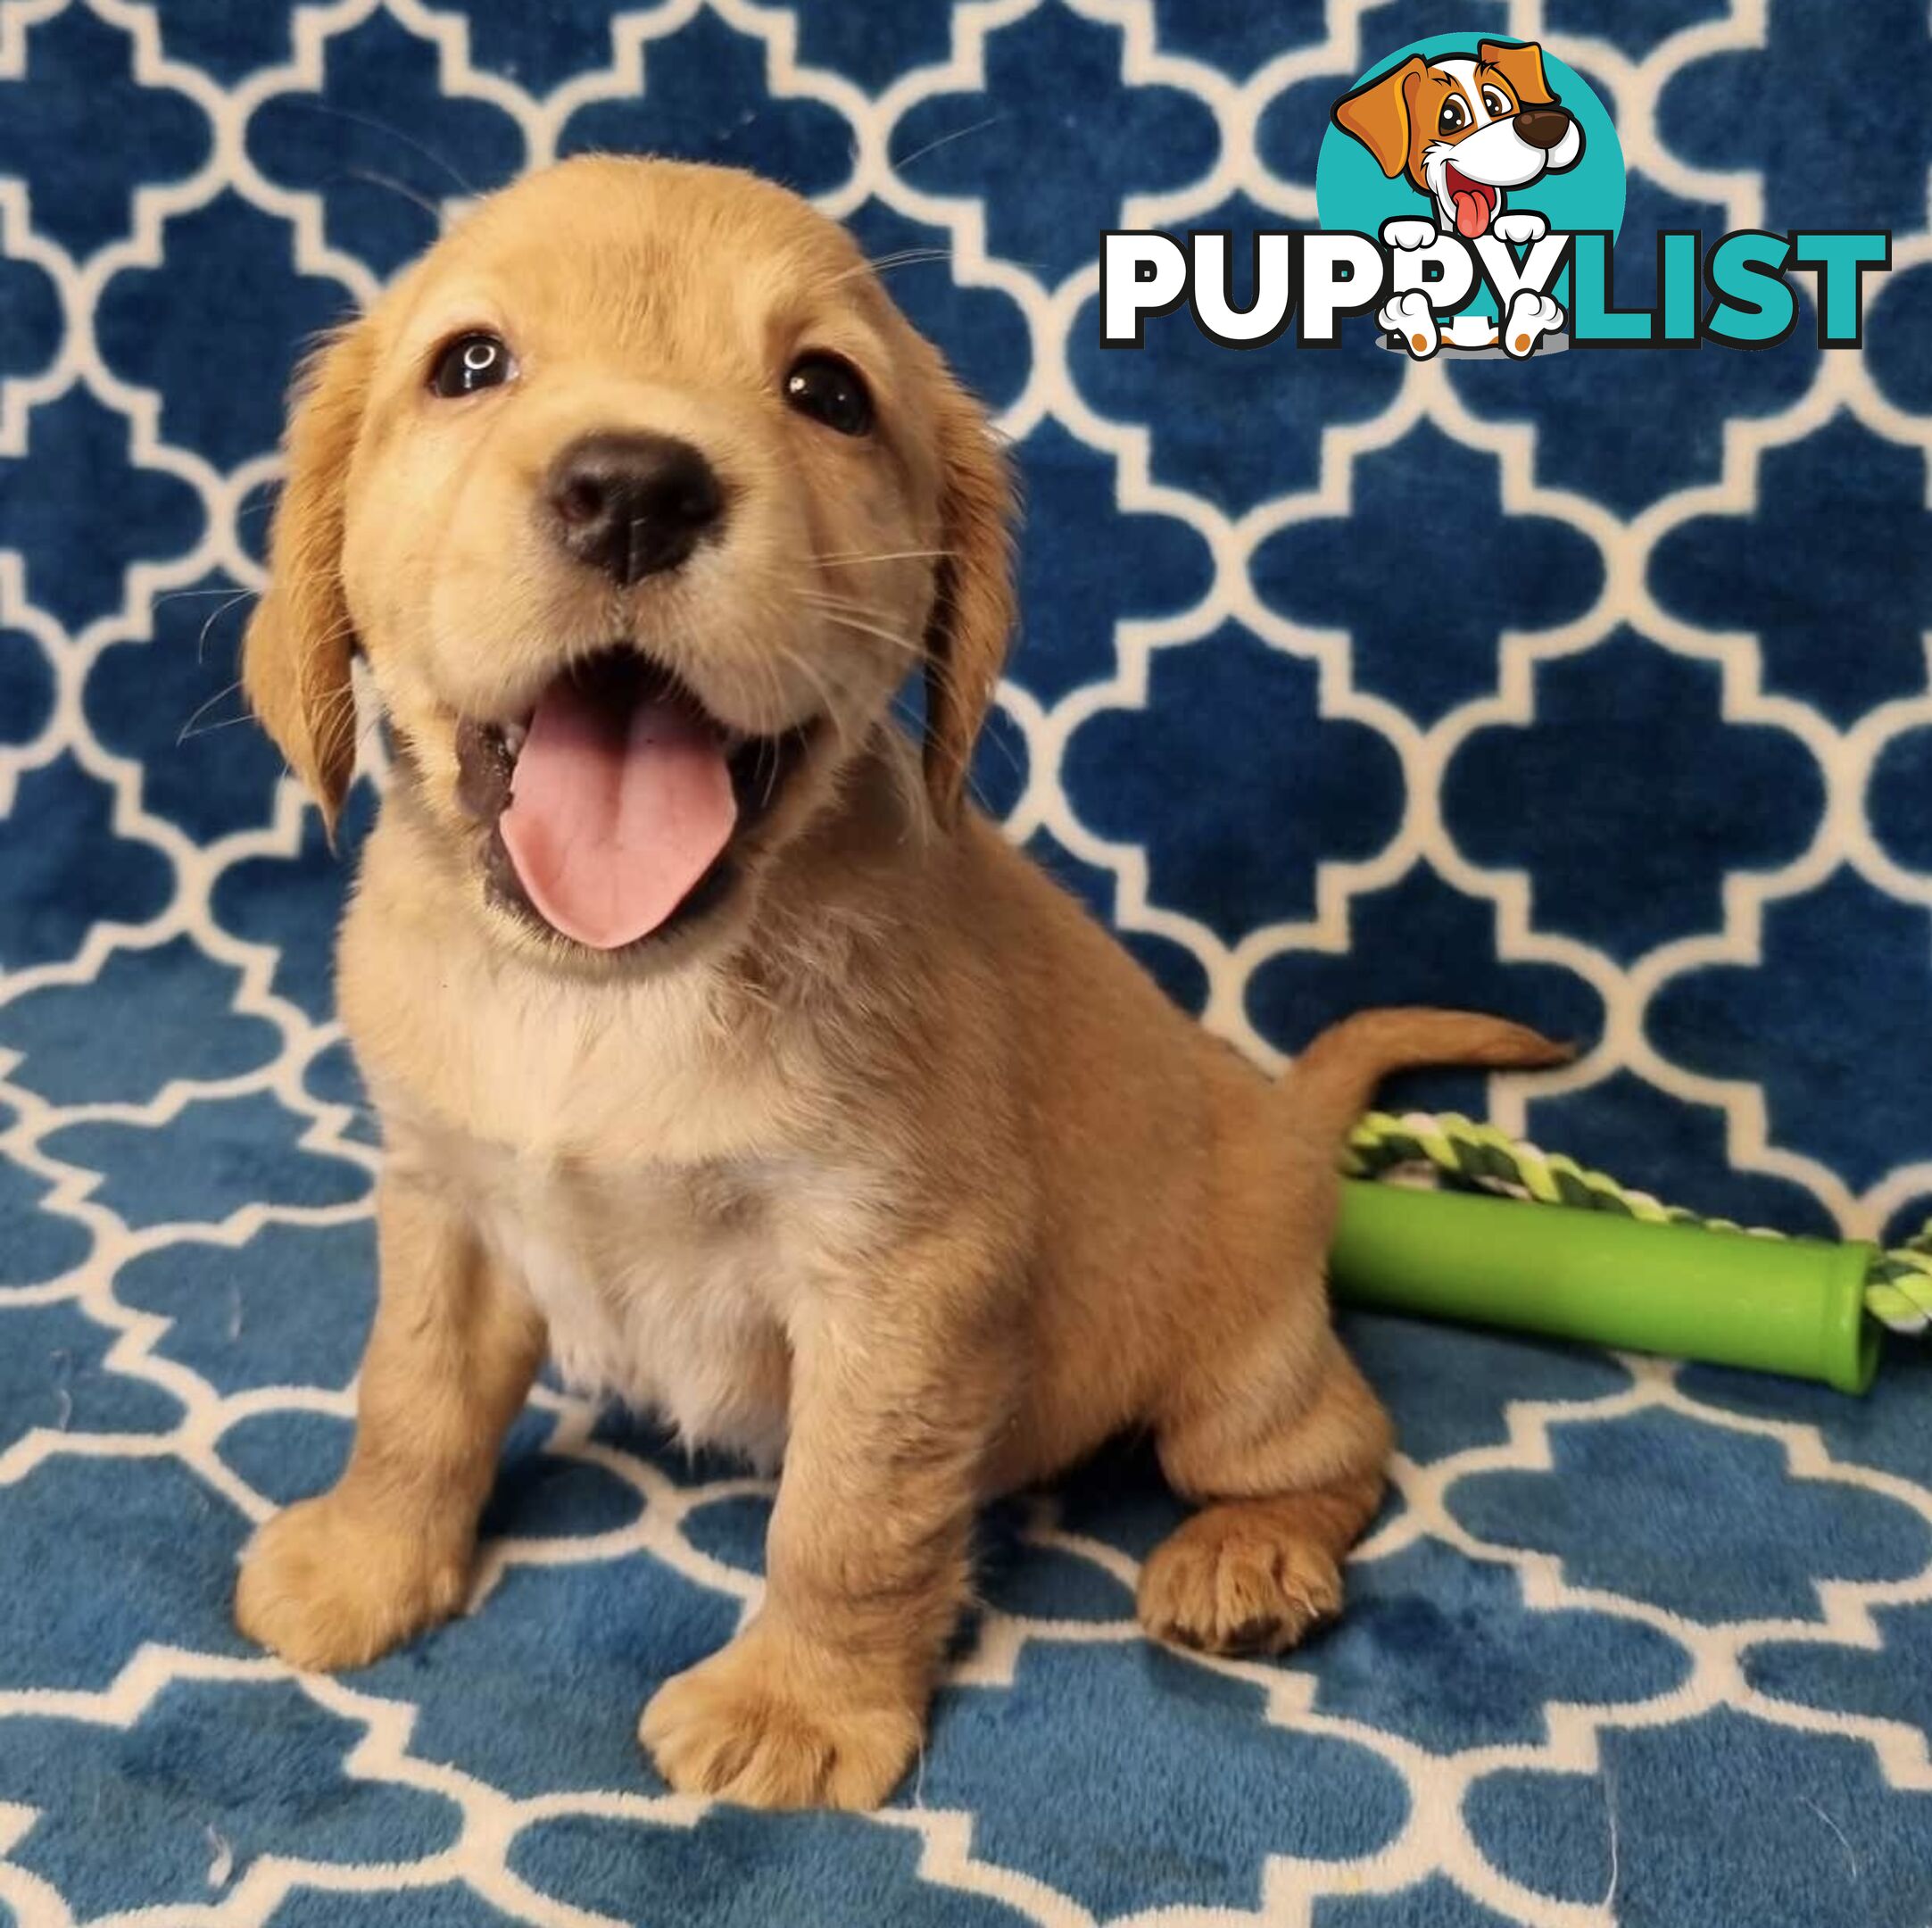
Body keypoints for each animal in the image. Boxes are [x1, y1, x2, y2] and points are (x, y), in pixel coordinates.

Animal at [233, 158, 1561, 1816]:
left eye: (826, 392)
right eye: (469, 364)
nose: (633, 490)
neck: (604, 997)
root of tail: (1285, 1125)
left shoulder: (903, 1278)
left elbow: (849, 1517)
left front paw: (799, 1707)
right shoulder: (445, 1201)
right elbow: (410, 1396)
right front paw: (364, 1565)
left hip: (1237, 1362)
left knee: (1336, 1449)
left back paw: (1248, 1558)